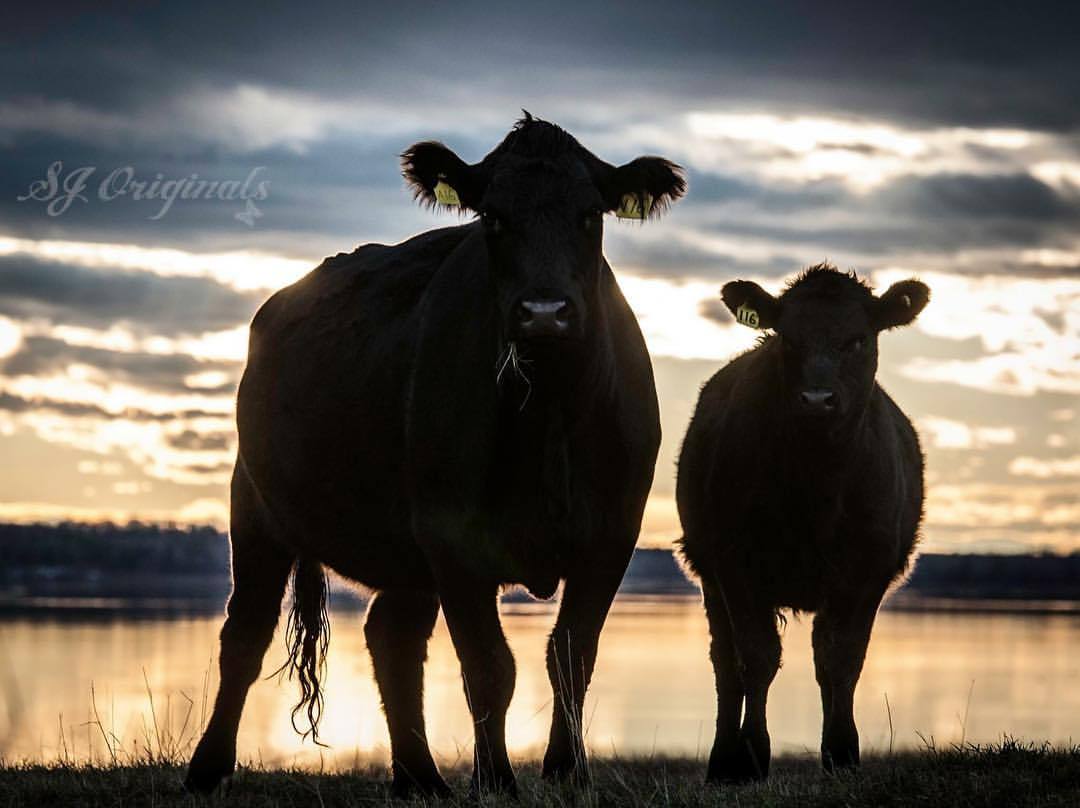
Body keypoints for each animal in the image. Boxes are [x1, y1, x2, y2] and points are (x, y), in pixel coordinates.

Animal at [184, 114, 686, 797]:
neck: (547, 410)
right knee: (246, 631)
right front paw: (496, 780)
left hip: (405, 549)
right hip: (257, 506)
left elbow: (571, 655)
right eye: (493, 216)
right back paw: (207, 769)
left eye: (590, 214)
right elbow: (490, 666)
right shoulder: (454, 536)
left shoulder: (612, 534)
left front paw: (566, 772)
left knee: (391, 637)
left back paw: (419, 777)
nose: (545, 312)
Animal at [676, 264, 927, 783]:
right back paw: (722, 760)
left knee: (819, 652)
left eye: (858, 339)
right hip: (707, 570)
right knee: (725, 664)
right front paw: (752, 754)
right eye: (787, 338)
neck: (817, 487)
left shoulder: (868, 571)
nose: (816, 399)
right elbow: (756, 657)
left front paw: (842, 751)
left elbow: (842, 659)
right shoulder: (735, 563)